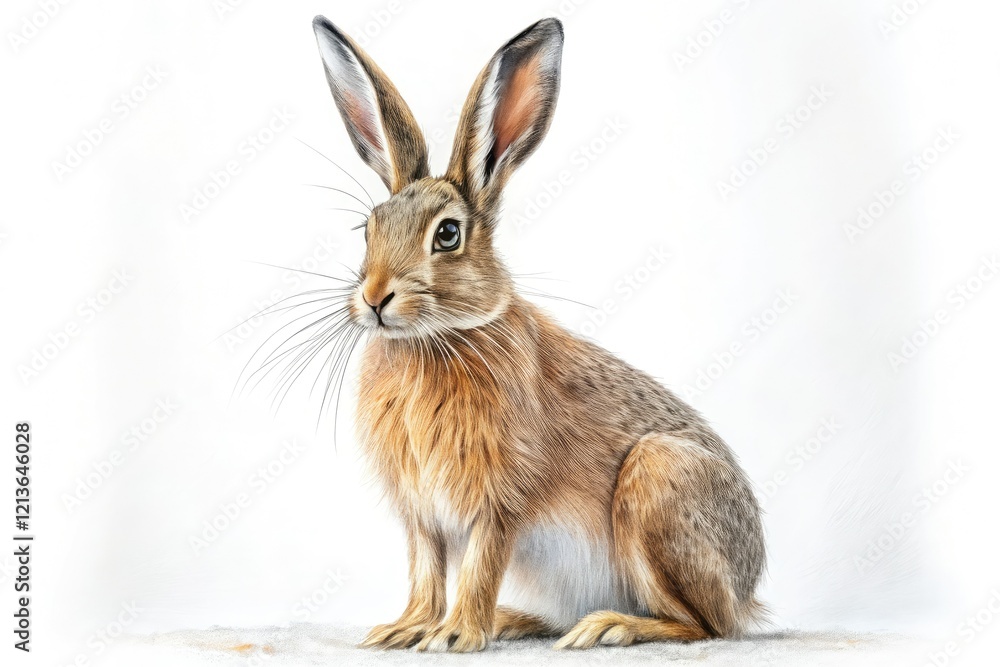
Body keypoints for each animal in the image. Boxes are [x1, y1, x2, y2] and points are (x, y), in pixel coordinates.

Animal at [310, 14, 766, 652]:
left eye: (447, 235)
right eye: (367, 229)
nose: (375, 298)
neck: (440, 338)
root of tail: (748, 589)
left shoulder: (497, 500)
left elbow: (480, 563)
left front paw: (456, 635)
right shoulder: (421, 514)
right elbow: (426, 569)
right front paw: (406, 628)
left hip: (659, 485)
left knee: (706, 626)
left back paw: (608, 626)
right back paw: (516, 619)